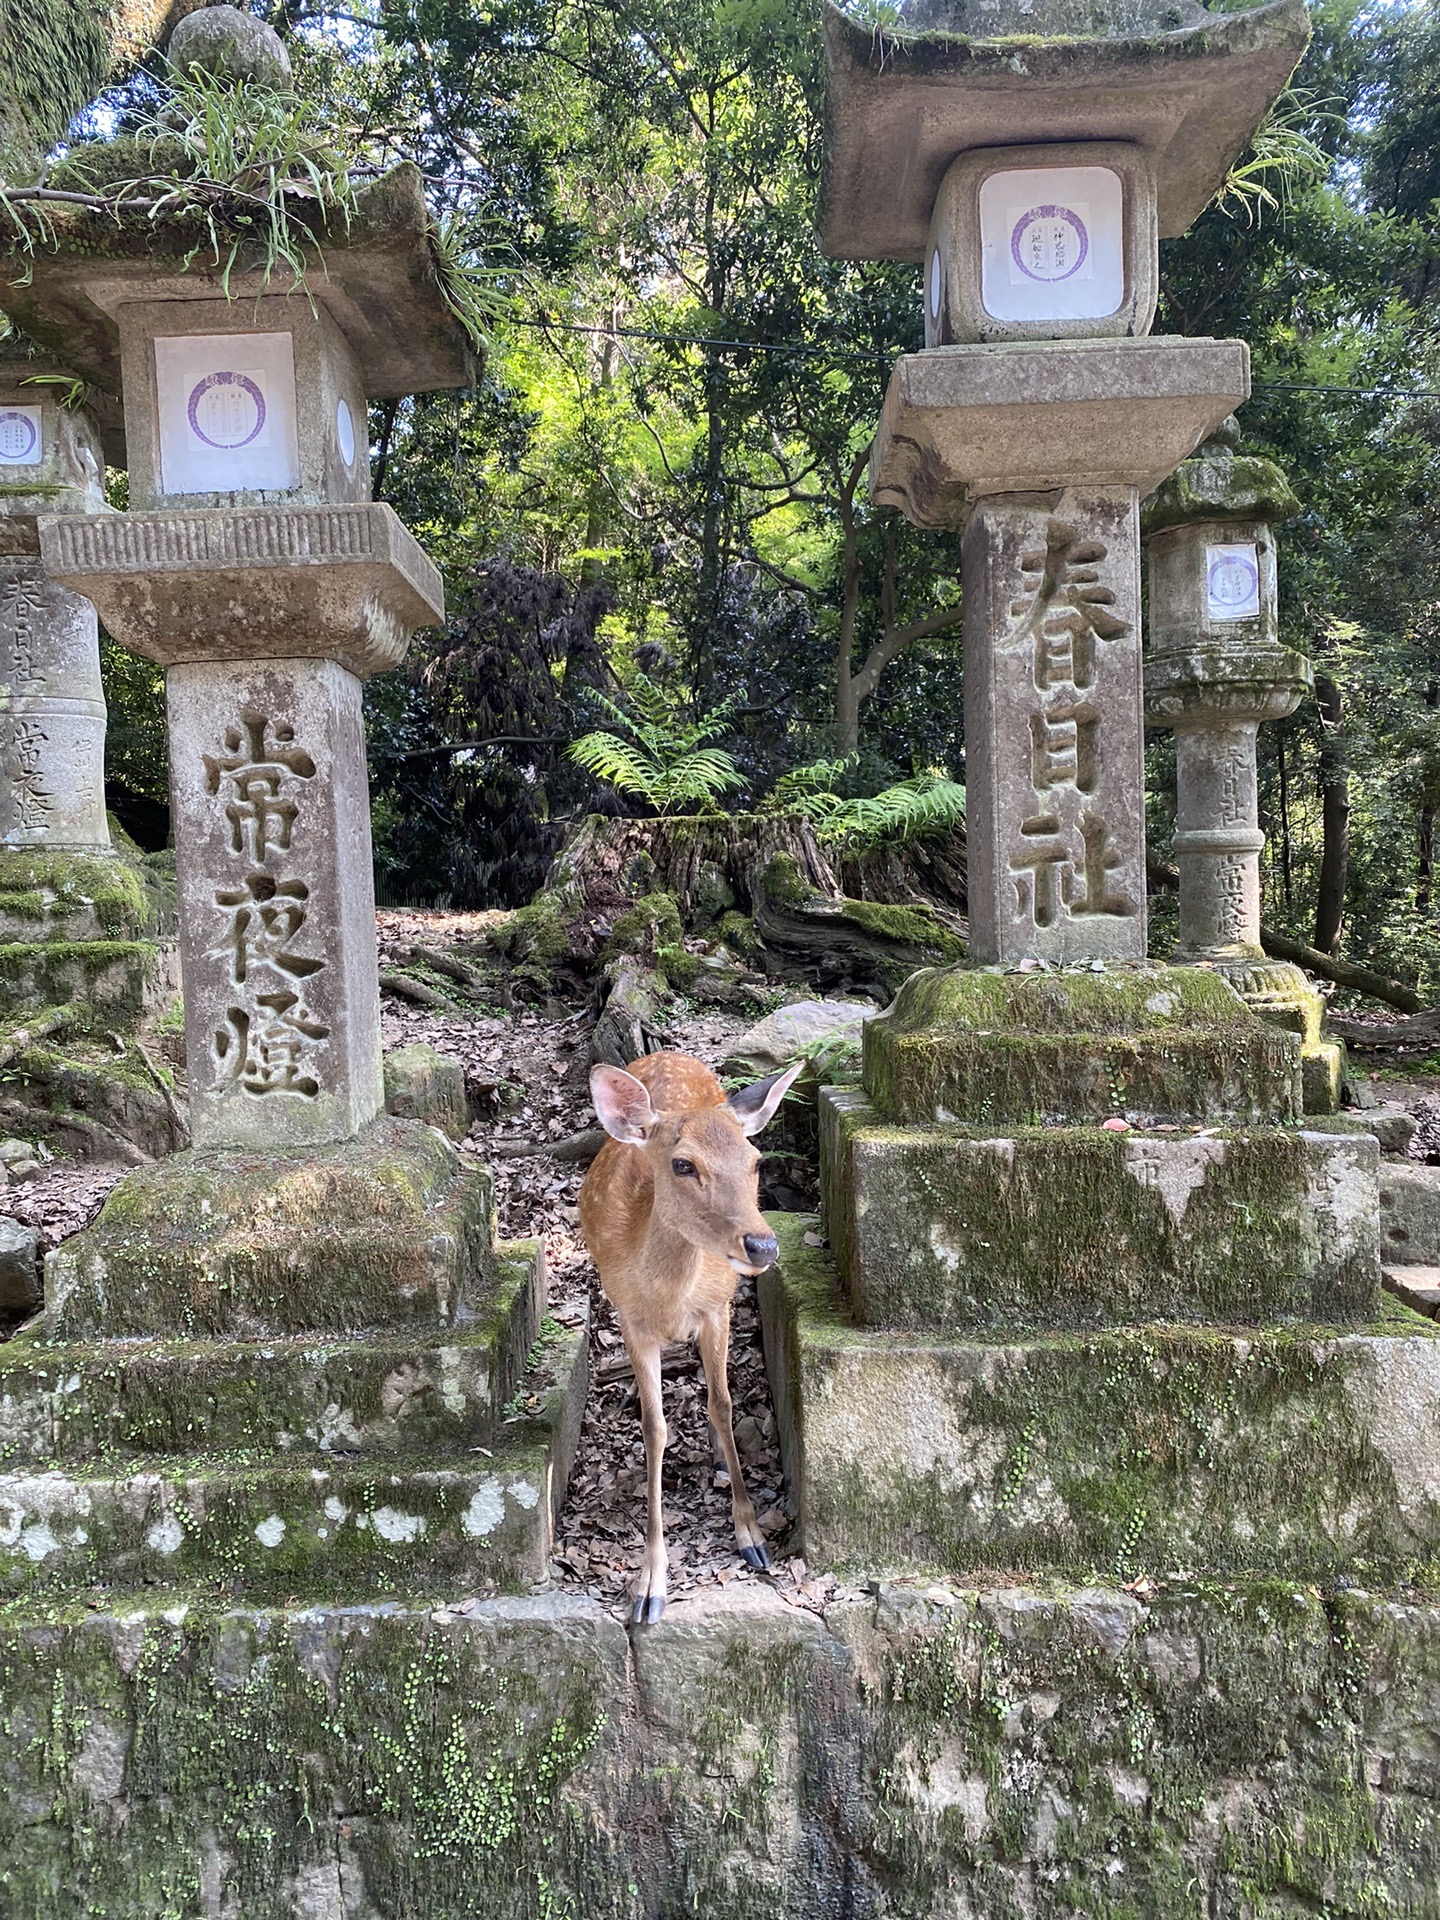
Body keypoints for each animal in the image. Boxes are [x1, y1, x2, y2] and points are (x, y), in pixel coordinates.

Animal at [579, 1052, 806, 1620]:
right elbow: (654, 1427)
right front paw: (649, 1585)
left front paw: (752, 1535)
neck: (669, 1300)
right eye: (683, 1165)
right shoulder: (630, 1320)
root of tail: (670, 1053)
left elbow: (722, 1403)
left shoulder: (717, 1306)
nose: (763, 1246)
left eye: (755, 1161)